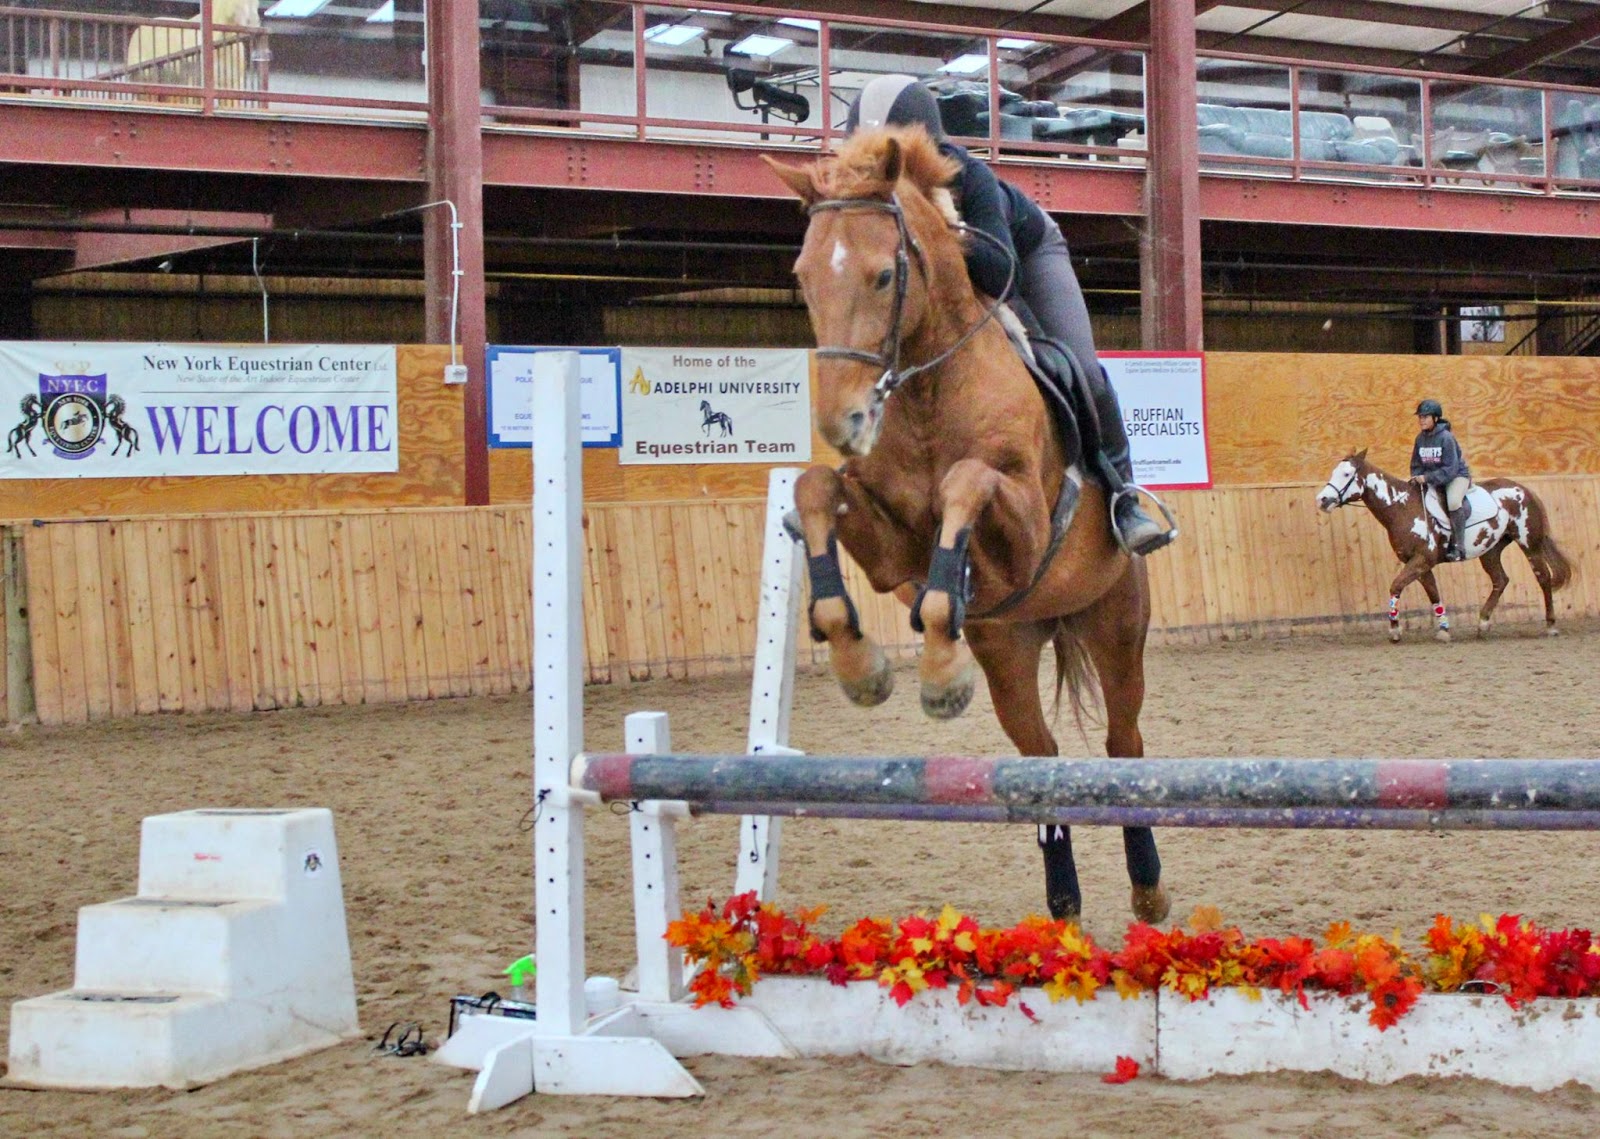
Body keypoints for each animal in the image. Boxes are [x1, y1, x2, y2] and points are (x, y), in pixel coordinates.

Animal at [768, 128, 1171, 927]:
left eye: (884, 275)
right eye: (803, 277)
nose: (843, 422)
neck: (925, 390)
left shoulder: (1026, 529)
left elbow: (967, 482)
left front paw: (935, 652)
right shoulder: (892, 551)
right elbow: (819, 488)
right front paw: (861, 661)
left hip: (1113, 621)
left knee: (1123, 741)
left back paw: (1147, 885)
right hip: (1009, 649)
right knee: (1041, 755)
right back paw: (1063, 901)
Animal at [1312, 444, 1574, 639]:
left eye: (1346, 474)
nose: (1322, 500)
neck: (1402, 507)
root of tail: (1524, 489)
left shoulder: (1421, 560)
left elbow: (1395, 586)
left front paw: (1394, 629)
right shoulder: (1420, 563)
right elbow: (1433, 594)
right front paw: (1444, 629)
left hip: (1530, 545)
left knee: (1543, 578)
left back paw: (1551, 625)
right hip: (1491, 550)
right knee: (1500, 580)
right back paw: (1482, 624)